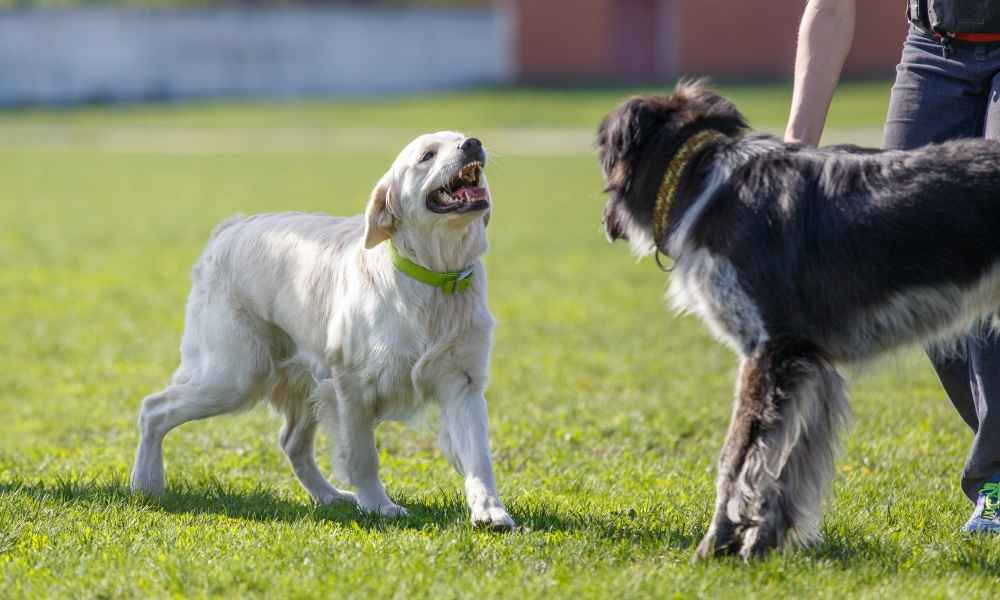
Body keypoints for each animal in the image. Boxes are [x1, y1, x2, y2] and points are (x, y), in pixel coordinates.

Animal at [131, 131, 516, 528]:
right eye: (427, 155)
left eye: (462, 138)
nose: (472, 144)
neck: (436, 276)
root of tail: (230, 228)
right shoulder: (351, 386)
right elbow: (363, 457)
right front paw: (379, 505)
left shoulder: (462, 382)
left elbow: (478, 457)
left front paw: (490, 510)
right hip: (234, 375)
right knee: (153, 409)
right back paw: (146, 483)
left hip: (297, 382)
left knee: (290, 443)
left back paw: (329, 496)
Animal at [596, 81, 1000, 564]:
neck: (705, 186)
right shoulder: (806, 367)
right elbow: (785, 464)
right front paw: (761, 544)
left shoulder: (769, 351)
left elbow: (737, 460)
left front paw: (716, 545)